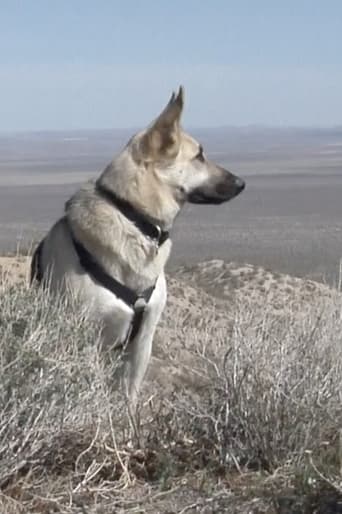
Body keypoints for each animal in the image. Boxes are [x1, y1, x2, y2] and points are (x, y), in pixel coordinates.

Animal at [30, 86, 246, 402]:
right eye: (199, 156)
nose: (242, 183)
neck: (132, 216)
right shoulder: (86, 337)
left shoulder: (142, 343)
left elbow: (128, 398)